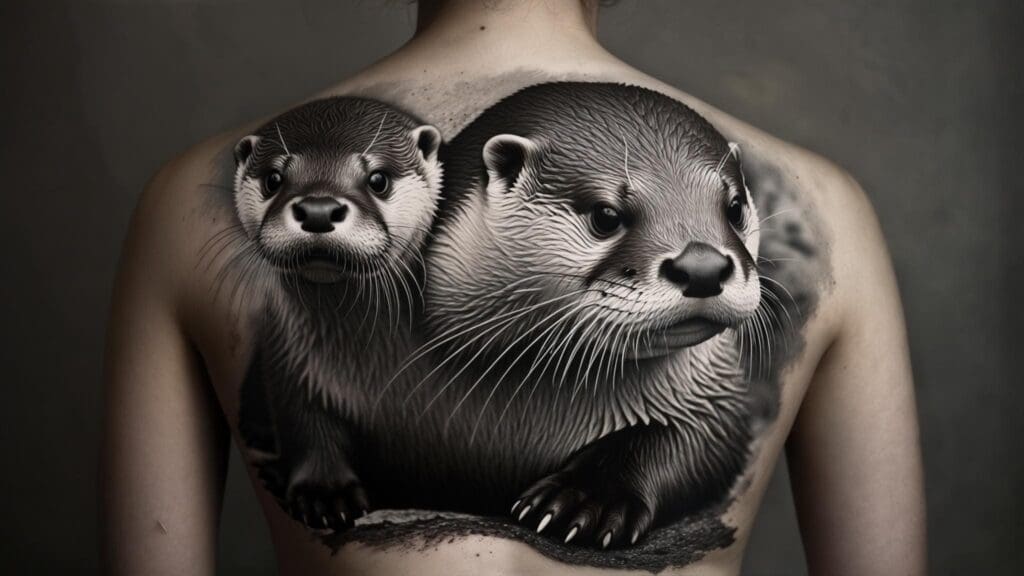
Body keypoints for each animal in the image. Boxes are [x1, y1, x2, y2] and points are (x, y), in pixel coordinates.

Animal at [232, 96, 442, 531]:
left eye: (378, 179)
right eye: (273, 179)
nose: (317, 209)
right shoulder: (291, 361)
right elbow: (305, 425)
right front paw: (325, 494)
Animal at [395, 82, 763, 549]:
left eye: (733, 206)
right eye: (606, 215)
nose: (703, 267)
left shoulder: (712, 396)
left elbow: (691, 440)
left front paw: (588, 499)